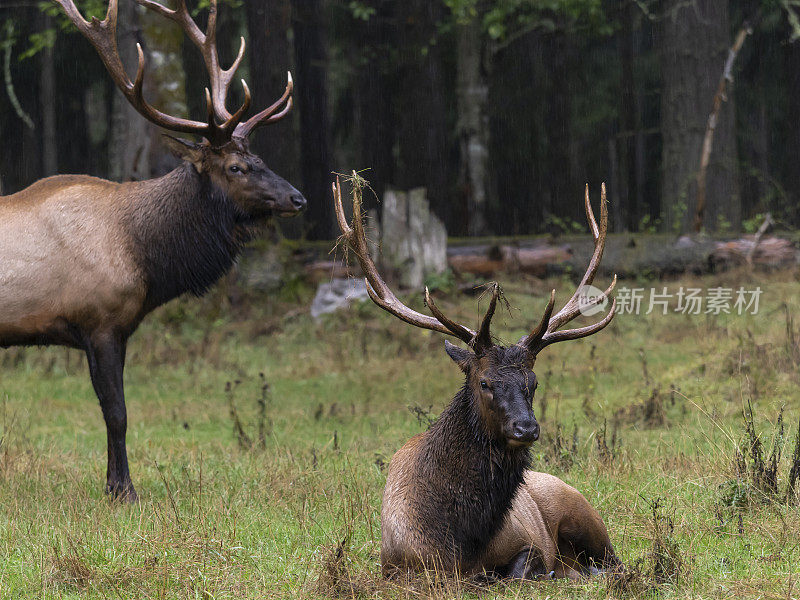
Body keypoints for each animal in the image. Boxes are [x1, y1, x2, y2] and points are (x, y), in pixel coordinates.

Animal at [0, 0, 306, 502]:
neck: (145, 257)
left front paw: (112, 485)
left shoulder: (120, 330)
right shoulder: (99, 321)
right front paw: (124, 491)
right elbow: (117, 412)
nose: (298, 198)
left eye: (261, 159)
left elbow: (113, 411)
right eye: (237, 167)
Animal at [334, 176, 620, 580]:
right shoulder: (400, 565)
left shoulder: (526, 543)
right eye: (484, 382)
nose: (526, 428)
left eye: (533, 383)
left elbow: (519, 570)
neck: (460, 541)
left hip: (585, 515)